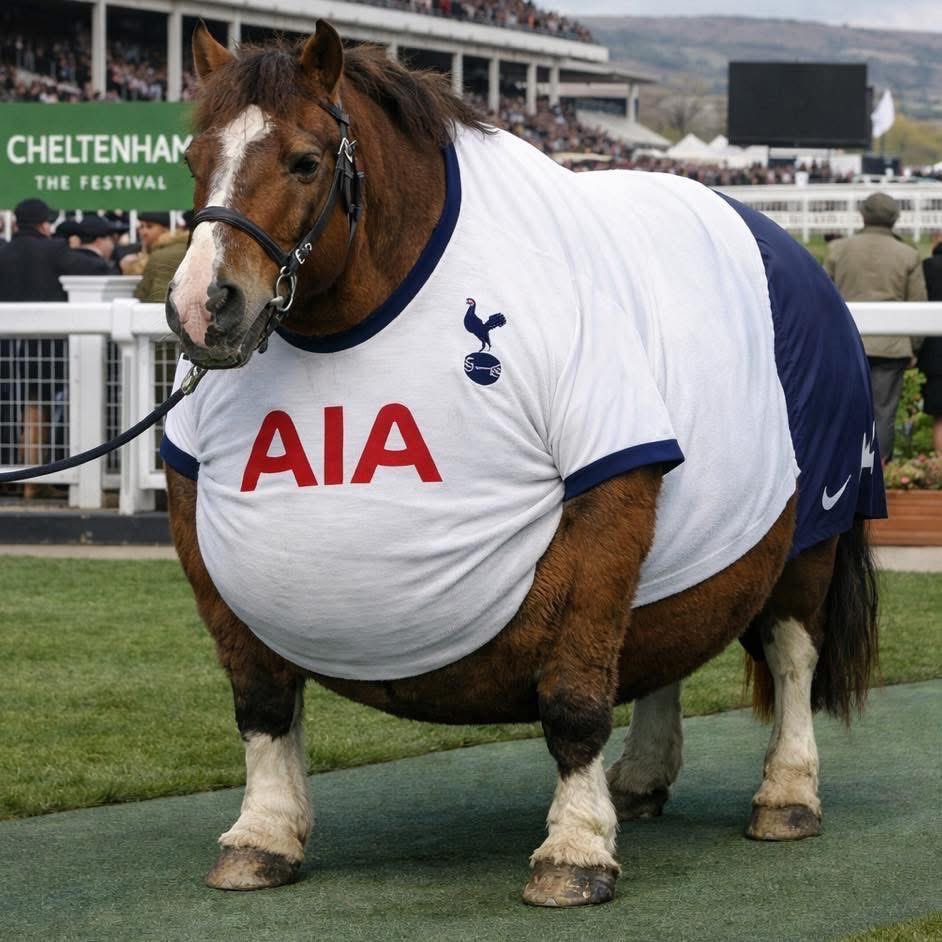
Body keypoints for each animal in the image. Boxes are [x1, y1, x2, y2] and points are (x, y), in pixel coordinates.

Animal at [162, 21, 884, 907]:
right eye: (194, 156)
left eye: (303, 161)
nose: (203, 305)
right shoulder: (200, 525)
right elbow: (262, 698)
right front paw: (263, 832)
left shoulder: (609, 497)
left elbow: (573, 697)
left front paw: (575, 848)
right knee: (667, 636)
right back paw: (641, 777)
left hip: (813, 534)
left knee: (792, 652)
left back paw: (787, 792)